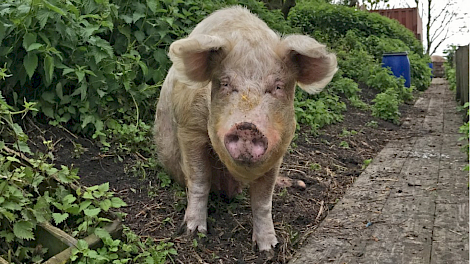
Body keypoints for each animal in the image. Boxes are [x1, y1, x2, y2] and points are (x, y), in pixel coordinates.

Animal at [152, 6, 336, 253]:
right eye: (225, 83)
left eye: (278, 86)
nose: (247, 126)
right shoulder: (190, 127)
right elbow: (200, 180)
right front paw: (193, 232)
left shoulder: (279, 147)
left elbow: (263, 201)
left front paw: (269, 249)